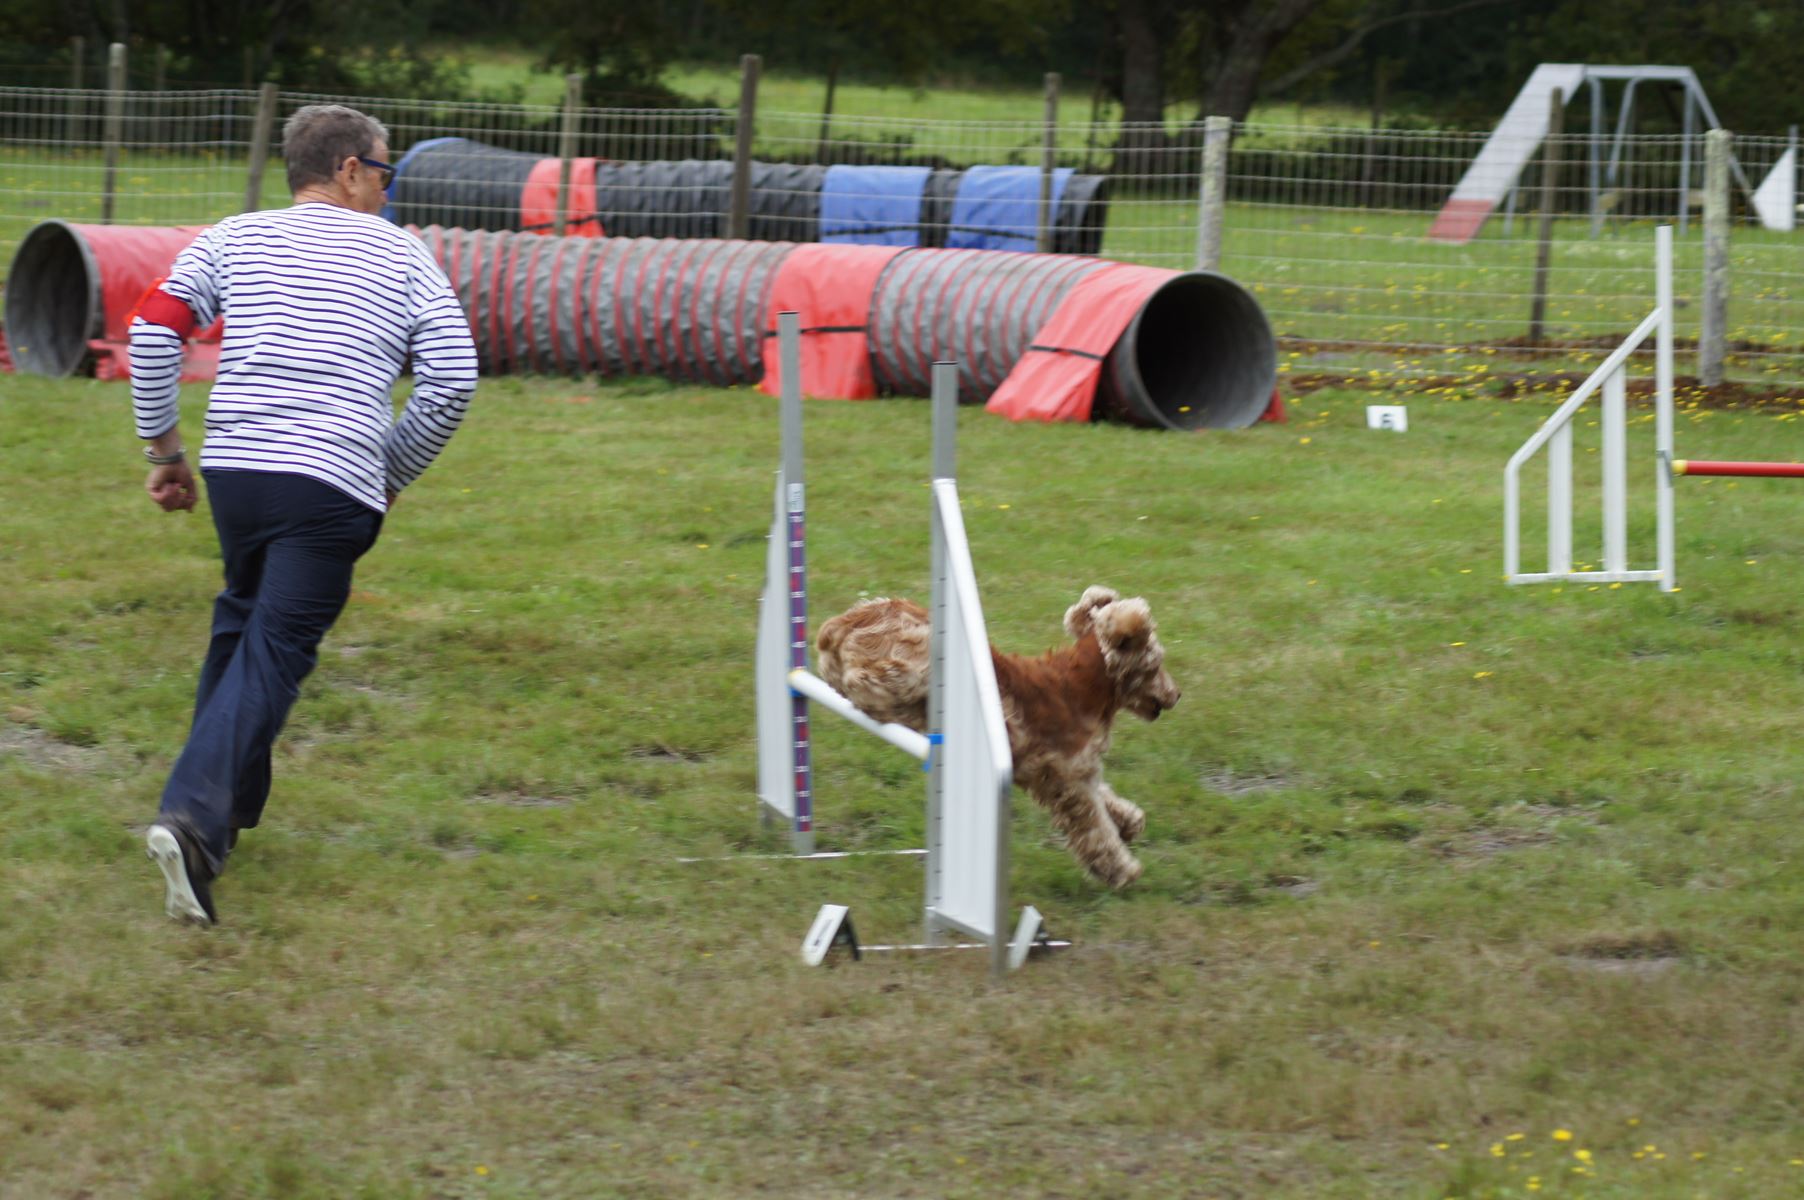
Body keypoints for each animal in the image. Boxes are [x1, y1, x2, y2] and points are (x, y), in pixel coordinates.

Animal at [819, 584, 1183, 884]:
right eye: (1156, 664)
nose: (1176, 694)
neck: (1081, 688)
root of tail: (840, 624)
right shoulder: (1068, 780)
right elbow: (1096, 830)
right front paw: (1122, 870)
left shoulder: (1081, 770)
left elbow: (1108, 800)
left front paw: (1130, 822)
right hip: (916, 663)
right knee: (862, 680)